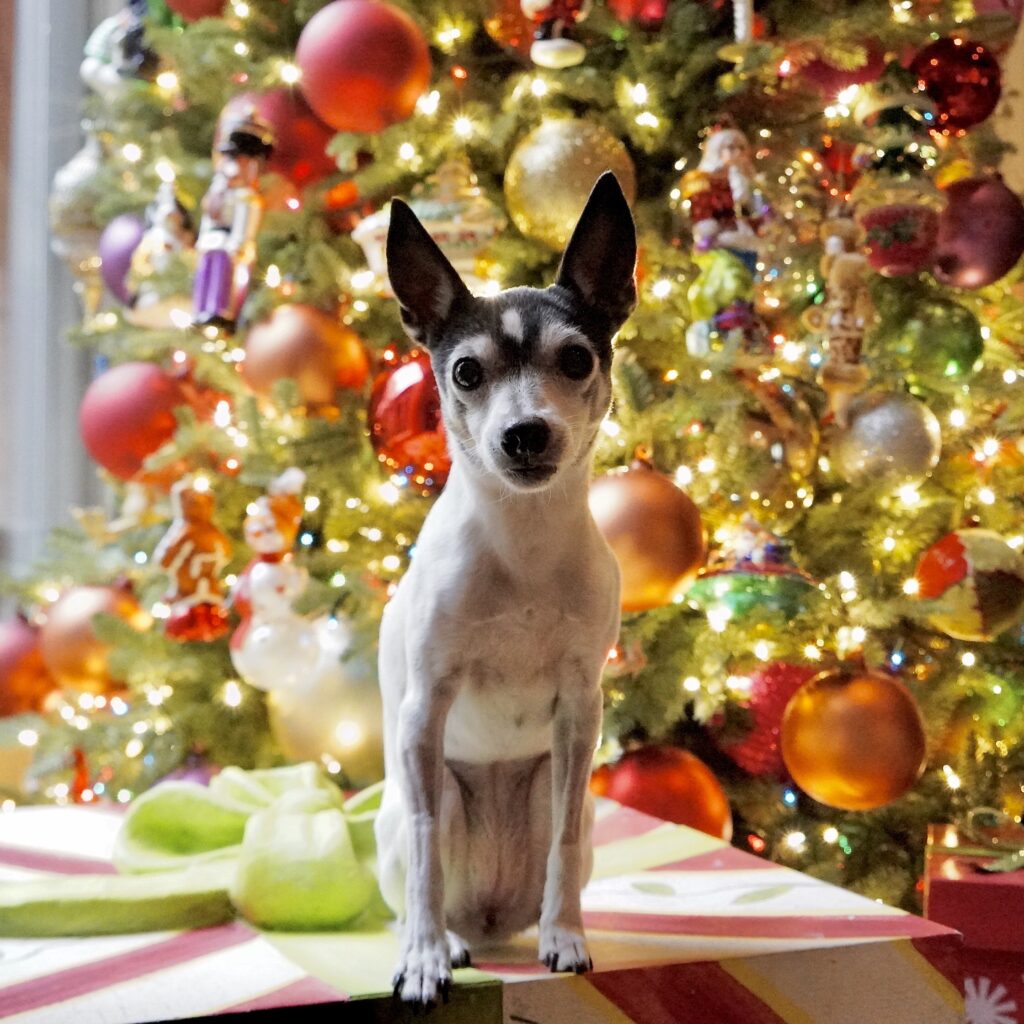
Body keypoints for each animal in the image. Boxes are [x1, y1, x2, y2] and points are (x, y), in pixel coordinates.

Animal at [372, 169, 634, 1007]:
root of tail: (490, 917)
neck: (522, 544)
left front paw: (567, 937)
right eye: (466, 372)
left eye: (576, 360)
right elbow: (426, 858)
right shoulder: (424, 712)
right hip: (425, 794)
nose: (524, 434)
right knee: (419, 878)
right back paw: (446, 941)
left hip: (552, 776)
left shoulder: (579, 711)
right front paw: (423, 959)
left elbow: (565, 841)